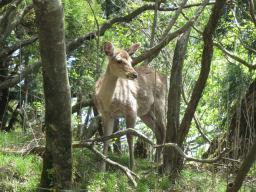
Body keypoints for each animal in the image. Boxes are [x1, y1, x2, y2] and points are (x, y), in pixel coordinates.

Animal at [93, 42, 166, 171]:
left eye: (131, 61)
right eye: (119, 60)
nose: (134, 74)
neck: (108, 101)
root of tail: (164, 77)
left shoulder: (131, 109)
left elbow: (130, 137)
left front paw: (132, 166)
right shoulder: (106, 114)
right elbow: (107, 138)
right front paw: (102, 168)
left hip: (160, 102)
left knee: (164, 129)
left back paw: (160, 161)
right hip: (145, 112)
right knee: (157, 130)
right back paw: (156, 161)